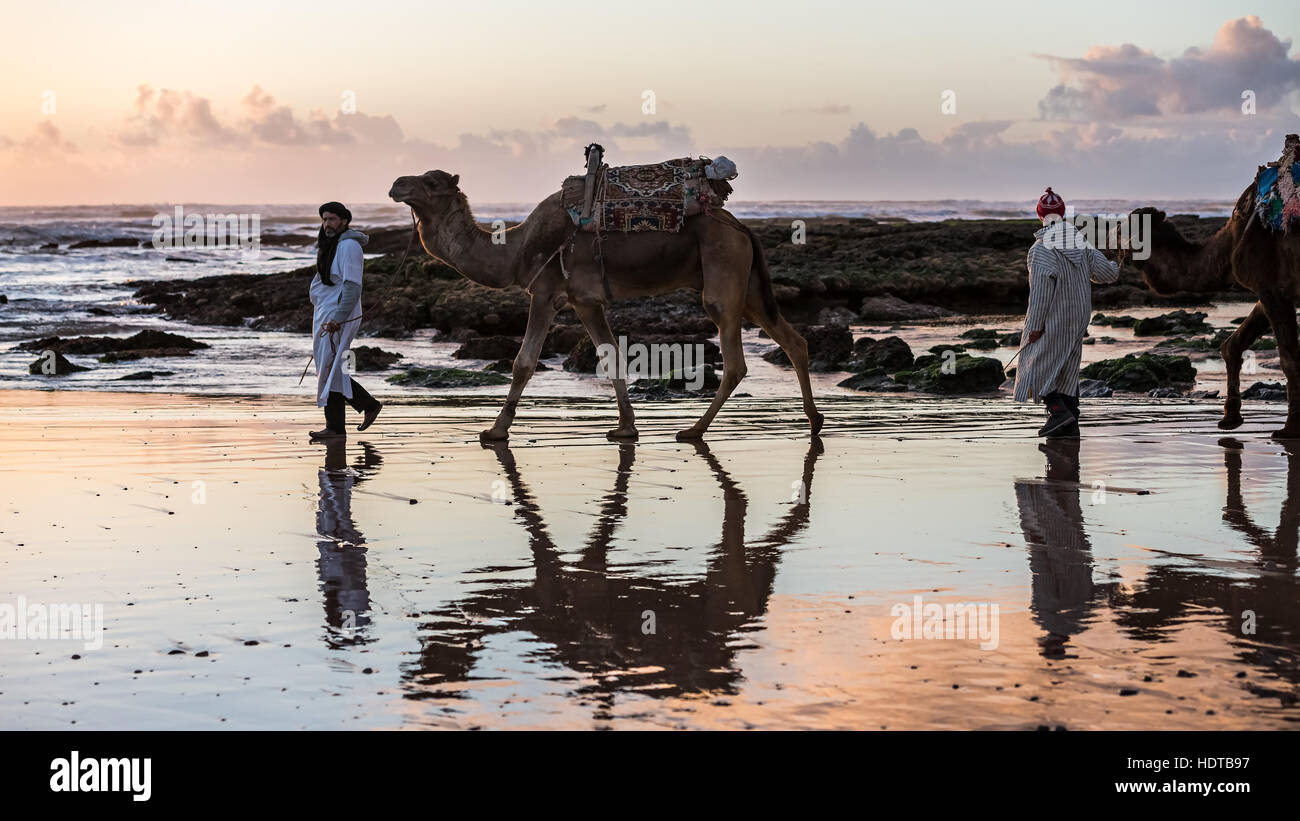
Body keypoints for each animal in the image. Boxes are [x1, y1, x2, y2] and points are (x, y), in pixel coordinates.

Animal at [384, 168, 821, 441]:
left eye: (431, 182)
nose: (396, 184)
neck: (516, 250)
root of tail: (742, 227)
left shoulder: (548, 293)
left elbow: (524, 362)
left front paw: (495, 432)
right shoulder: (585, 301)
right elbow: (612, 355)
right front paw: (626, 427)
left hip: (722, 273)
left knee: (735, 361)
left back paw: (693, 430)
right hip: (746, 286)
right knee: (793, 340)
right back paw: (814, 420)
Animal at [1123, 180, 1300, 436]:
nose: (1121, 253)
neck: (1230, 245)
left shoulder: (1272, 289)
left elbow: (1289, 359)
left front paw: (1290, 428)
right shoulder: (1272, 292)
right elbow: (1232, 344)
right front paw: (1230, 417)